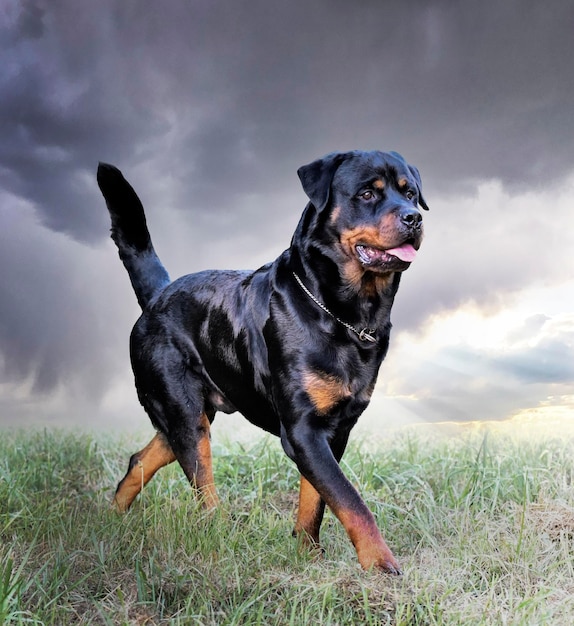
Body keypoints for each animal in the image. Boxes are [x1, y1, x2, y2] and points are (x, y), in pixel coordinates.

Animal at [95, 150, 428, 572]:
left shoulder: (334, 430)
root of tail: (158, 295)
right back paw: (218, 535)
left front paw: (307, 553)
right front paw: (382, 567)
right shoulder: (302, 428)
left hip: (183, 415)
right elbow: (350, 501)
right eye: (368, 193)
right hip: (184, 414)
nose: (414, 218)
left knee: (141, 459)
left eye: (411, 194)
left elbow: (316, 499)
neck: (348, 315)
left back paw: (113, 517)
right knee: (203, 487)